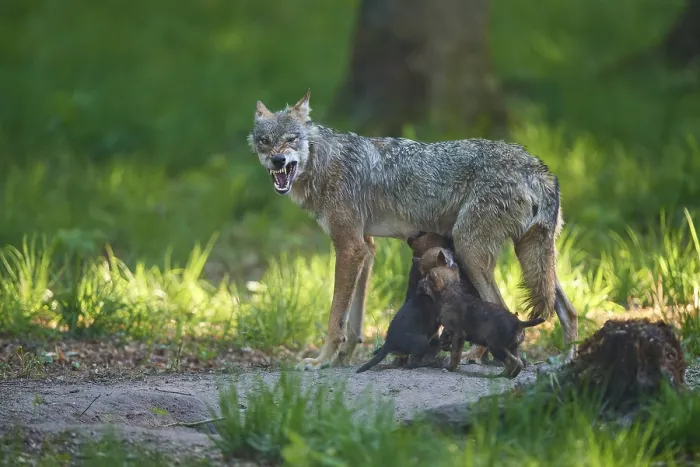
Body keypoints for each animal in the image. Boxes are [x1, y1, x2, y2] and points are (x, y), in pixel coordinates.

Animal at [248, 89, 578, 370]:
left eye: (292, 138)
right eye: (264, 141)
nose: (277, 160)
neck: (324, 163)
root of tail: (539, 169)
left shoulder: (349, 247)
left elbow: (335, 317)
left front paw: (322, 361)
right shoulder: (366, 248)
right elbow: (353, 321)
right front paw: (343, 358)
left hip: (470, 251)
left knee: (502, 305)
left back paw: (474, 356)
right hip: (533, 259)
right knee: (568, 310)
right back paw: (566, 360)